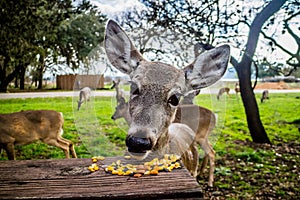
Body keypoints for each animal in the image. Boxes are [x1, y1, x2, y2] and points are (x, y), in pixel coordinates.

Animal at [104, 19, 229, 186]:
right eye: (133, 87)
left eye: (175, 98)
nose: (138, 141)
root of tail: (215, 116)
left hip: (202, 136)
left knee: (211, 153)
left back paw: (208, 181)